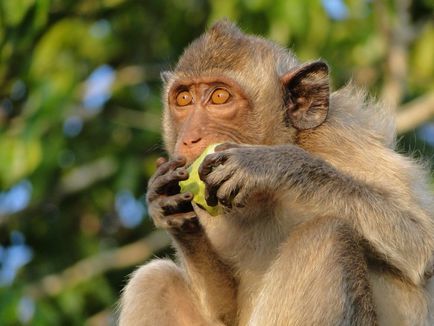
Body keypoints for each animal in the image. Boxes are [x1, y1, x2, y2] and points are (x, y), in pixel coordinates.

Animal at [118, 21, 434, 326]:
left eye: (219, 96)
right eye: (184, 99)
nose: (189, 139)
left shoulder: (341, 137)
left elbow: (423, 243)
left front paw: (271, 164)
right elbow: (224, 310)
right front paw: (170, 209)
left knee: (327, 234)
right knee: (153, 278)